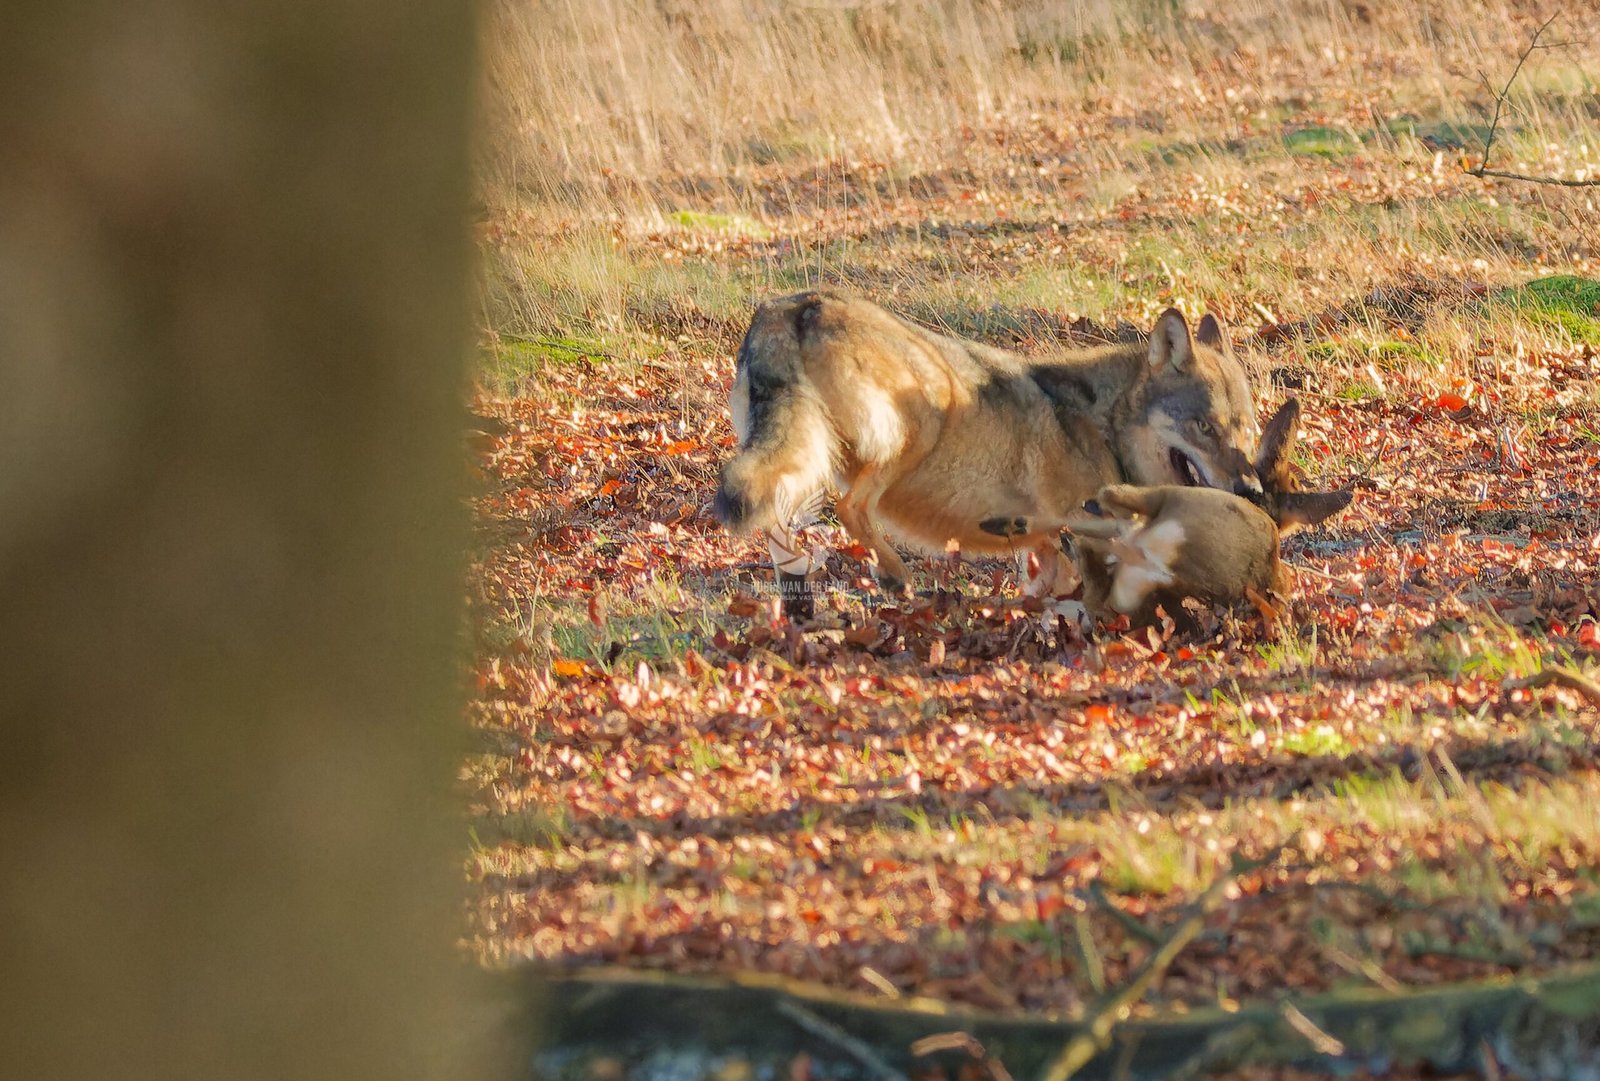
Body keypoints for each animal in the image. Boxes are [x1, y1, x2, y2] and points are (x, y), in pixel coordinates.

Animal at [716, 289, 1260, 617]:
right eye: (1203, 427)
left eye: (1246, 430)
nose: (1250, 490)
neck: (1101, 424)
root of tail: (792, 306)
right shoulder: (1076, 528)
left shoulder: (1047, 549)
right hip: (918, 421)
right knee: (853, 508)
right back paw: (894, 577)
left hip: (795, 475)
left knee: (785, 542)